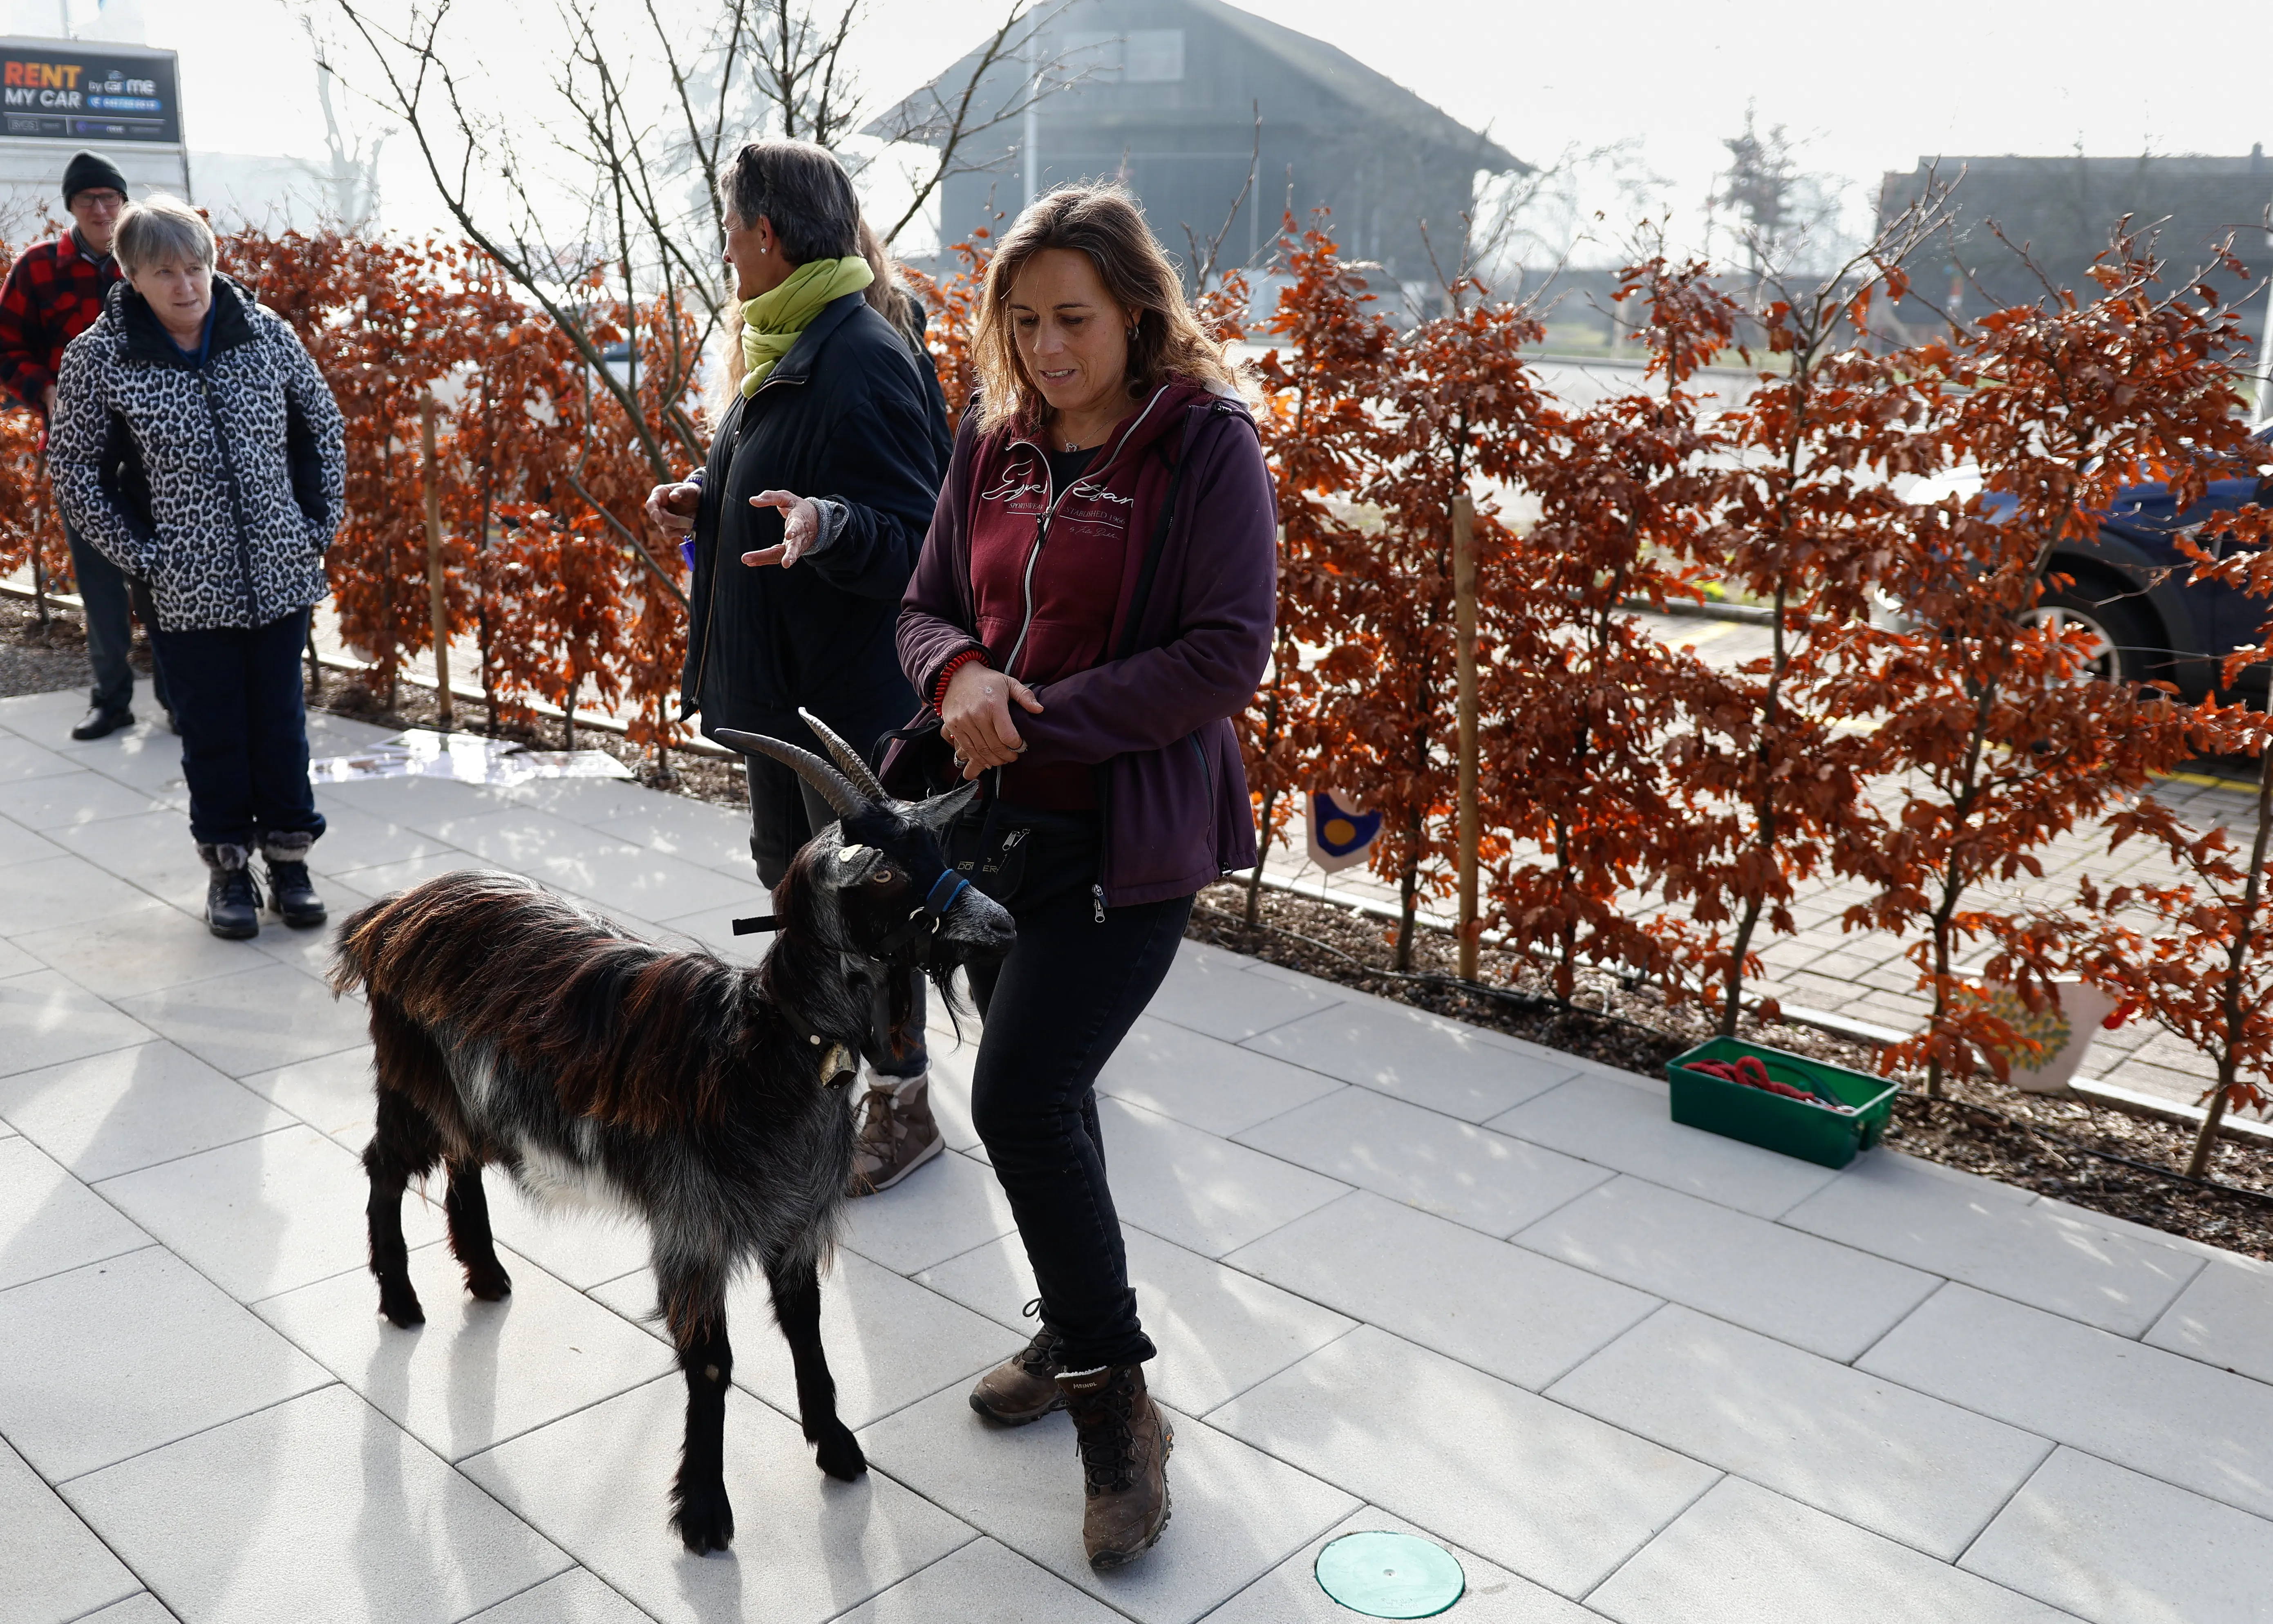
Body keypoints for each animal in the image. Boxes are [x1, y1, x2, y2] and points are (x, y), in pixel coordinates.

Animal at [332, 718, 1013, 1546]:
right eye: (884, 873)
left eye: (939, 852)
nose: (1004, 924)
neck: (761, 1047)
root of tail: (391, 913)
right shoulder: (693, 1224)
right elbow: (713, 1361)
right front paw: (705, 1512)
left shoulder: (792, 1218)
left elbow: (806, 1327)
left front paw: (837, 1446)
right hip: (412, 1080)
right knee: (383, 1165)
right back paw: (400, 1300)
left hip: (471, 1092)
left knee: (462, 1162)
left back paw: (488, 1277)